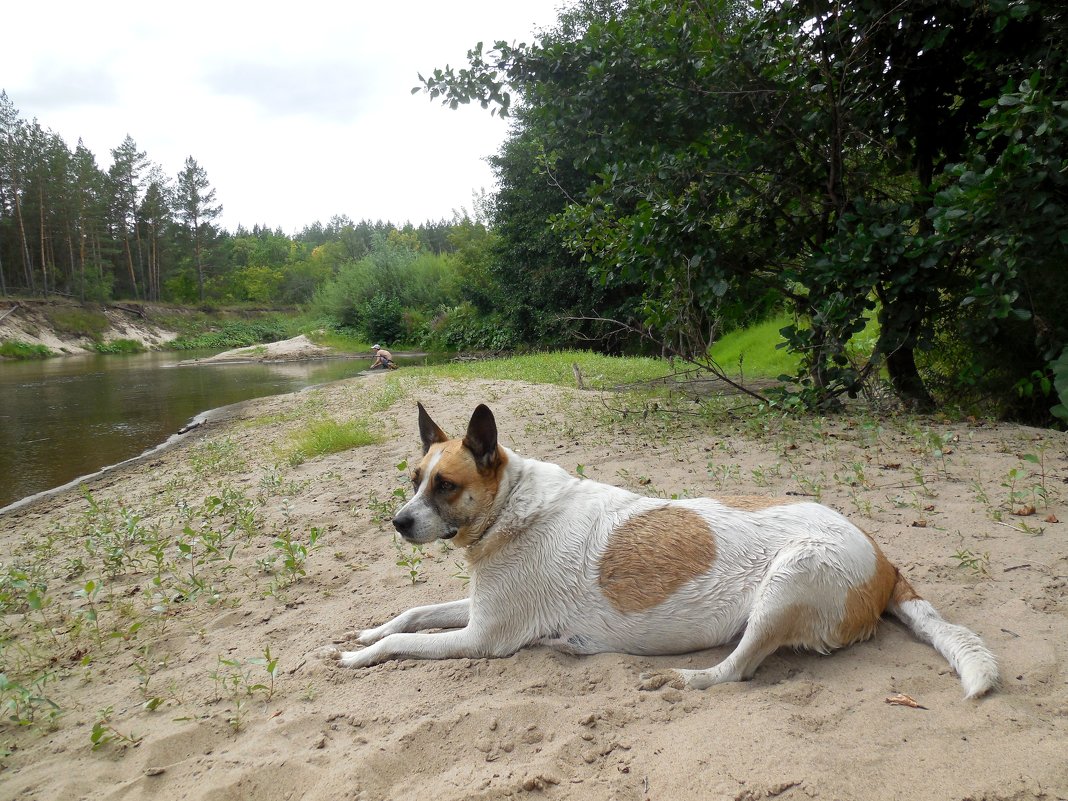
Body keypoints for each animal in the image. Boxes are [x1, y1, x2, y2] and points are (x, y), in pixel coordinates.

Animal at [326, 403, 999, 700]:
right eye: (414, 478)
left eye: (445, 486)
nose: (397, 523)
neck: (512, 505)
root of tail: (885, 561)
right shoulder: (474, 610)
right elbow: (411, 615)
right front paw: (368, 632)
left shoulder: (483, 638)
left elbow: (403, 645)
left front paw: (360, 657)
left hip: (789, 581)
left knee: (735, 670)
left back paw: (677, 677)